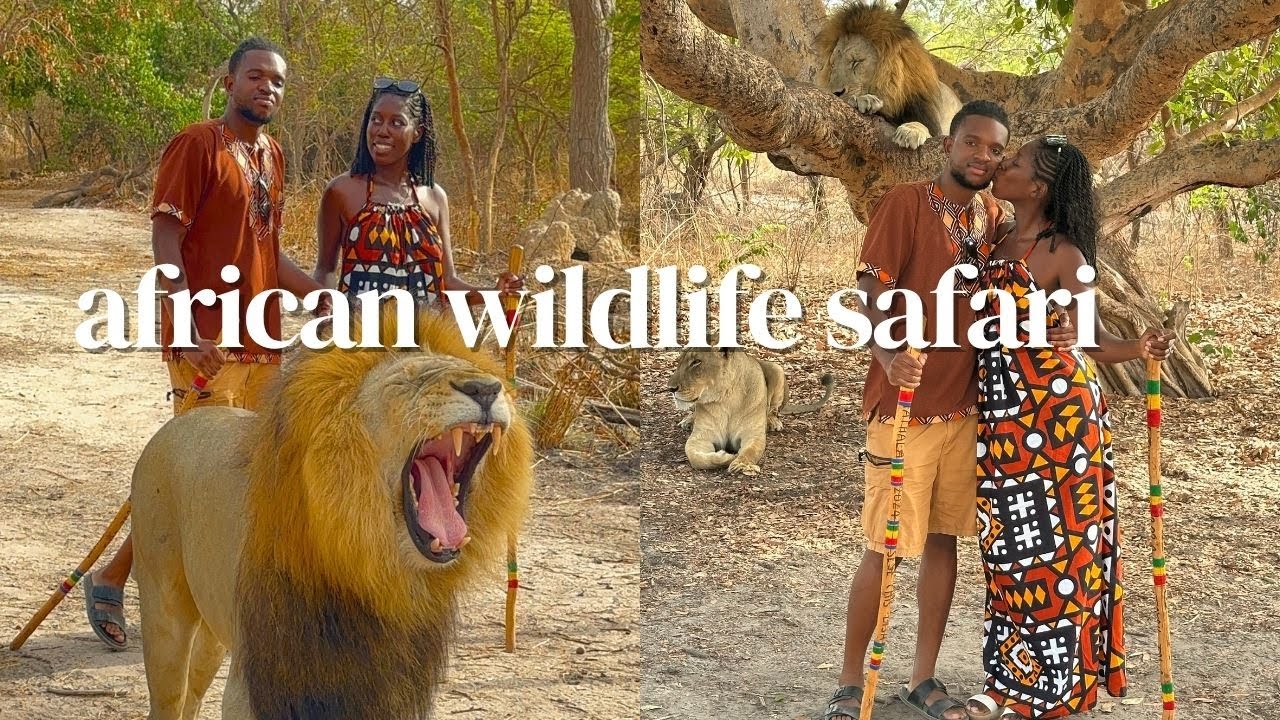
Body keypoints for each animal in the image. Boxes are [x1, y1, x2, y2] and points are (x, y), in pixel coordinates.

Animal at [129, 309, 533, 719]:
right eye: (405, 381)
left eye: (480, 374)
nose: (485, 389)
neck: (375, 575)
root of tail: (179, 422)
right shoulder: (260, 686)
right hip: (164, 613)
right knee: (170, 694)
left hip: (213, 624)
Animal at [667, 348, 835, 476]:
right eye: (680, 361)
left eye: (696, 362)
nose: (670, 388)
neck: (727, 399)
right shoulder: (701, 436)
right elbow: (695, 456)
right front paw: (727, 457)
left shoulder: (753, 435)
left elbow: (750, 452)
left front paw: (740, 464)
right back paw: (688, 420)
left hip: (777, 369)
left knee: (773, 410)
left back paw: (772, 422)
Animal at [816, 1, 962, 149]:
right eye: (833, 65)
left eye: (856, 62)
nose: (835, 93)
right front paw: (864, 100)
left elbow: (923, 126)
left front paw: (910, 131)